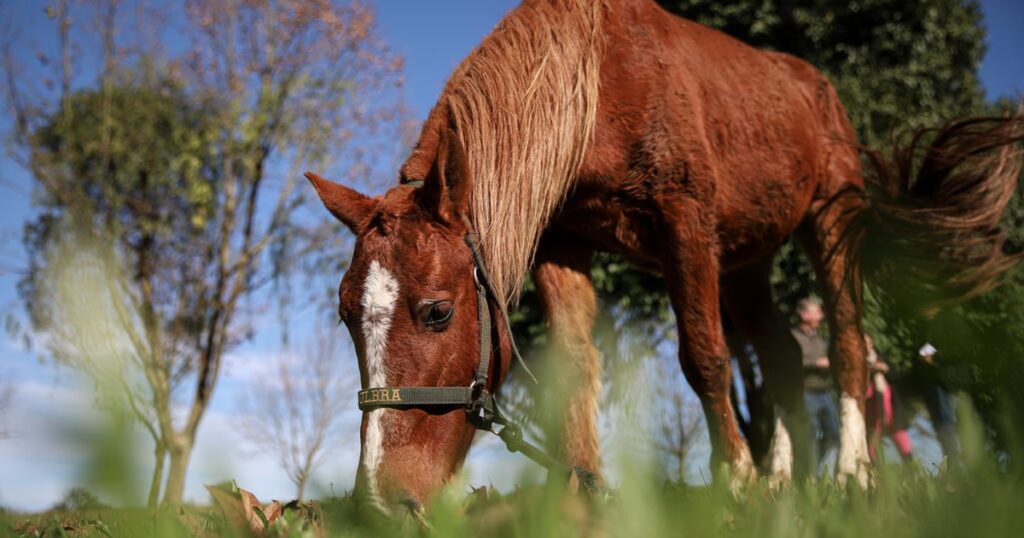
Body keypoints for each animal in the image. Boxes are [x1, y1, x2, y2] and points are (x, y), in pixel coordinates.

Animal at [307, 0, 1023, 511]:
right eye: (346, 319)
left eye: (436, 312)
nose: (380, 504)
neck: (597, 81)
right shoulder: (563, 246)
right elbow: (577, 365)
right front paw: (581, 494)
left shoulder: (687, 227)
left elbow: (705, 357)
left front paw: (735, 480)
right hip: (746, 262)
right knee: (784, 359)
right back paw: (786, 480)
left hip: (830, 220)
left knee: (846, 342)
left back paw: (851, 473)